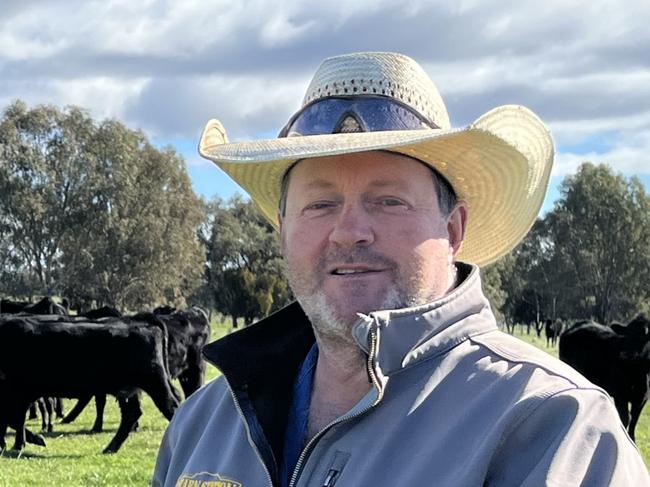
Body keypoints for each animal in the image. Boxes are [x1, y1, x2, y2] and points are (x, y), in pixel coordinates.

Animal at [0, 312, 180, 454]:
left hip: (155, 383)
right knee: (131, 414)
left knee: (171, 407)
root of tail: (144, 323)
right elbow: (13, 419)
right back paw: (110, 448)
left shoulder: (17, 392)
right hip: (129, 390)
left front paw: (20, 443)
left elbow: (13, 419)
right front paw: (19, 443)